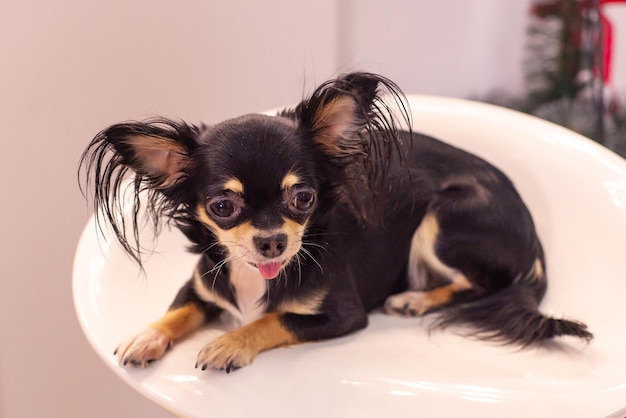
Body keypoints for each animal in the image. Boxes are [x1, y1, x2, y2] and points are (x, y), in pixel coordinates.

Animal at [79, 71, 588, 372]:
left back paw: (414, 300)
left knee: (482, 284)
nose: (272, 242)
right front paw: (148, 335)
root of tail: (533, 234)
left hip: (445, 219)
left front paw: (230, 342)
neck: (255, 275)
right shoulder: (203, 284)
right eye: (223, 206)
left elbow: (275, 318)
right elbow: (180, 308)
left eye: (303, 198)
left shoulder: (343, 314)